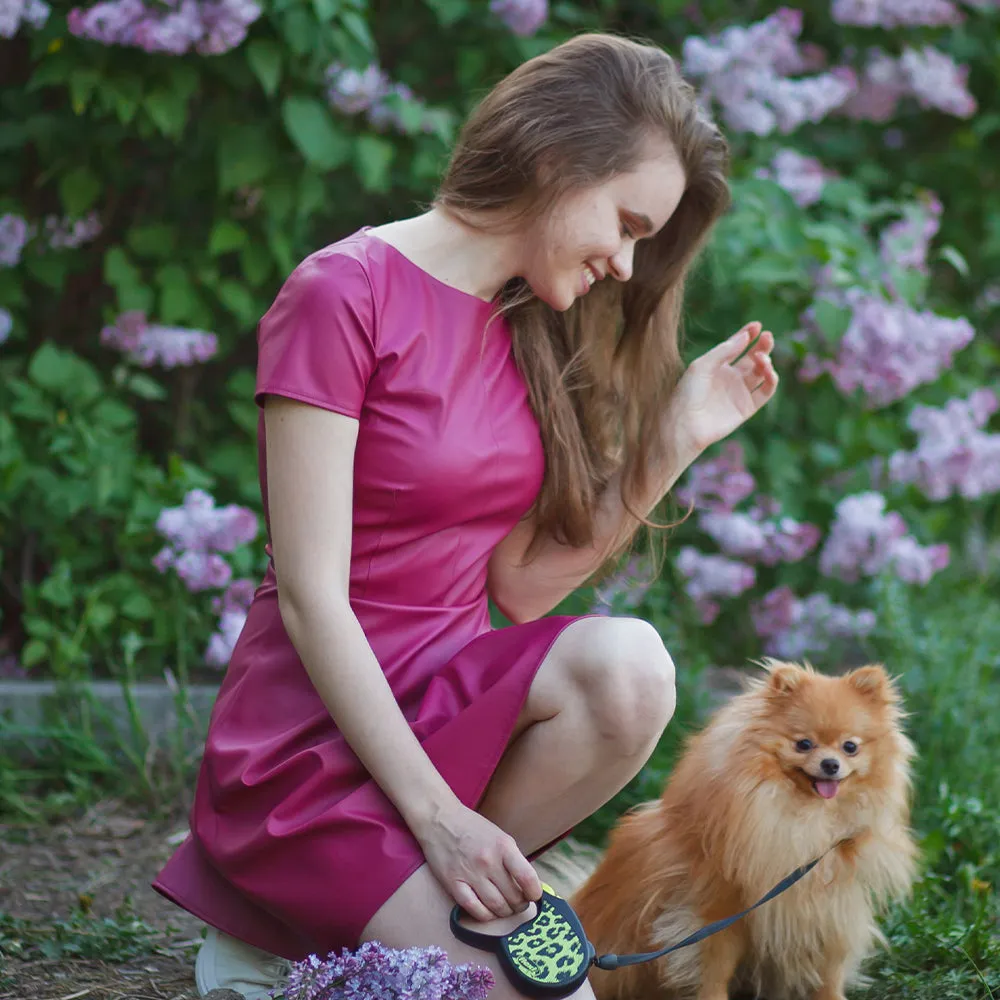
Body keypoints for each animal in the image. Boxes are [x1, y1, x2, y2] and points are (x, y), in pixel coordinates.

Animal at [576, 664, 916, 1000]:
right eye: (804, 744)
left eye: (850, 747)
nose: (831, 764)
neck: (806, 821)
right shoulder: (719, 908)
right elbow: (716, 966)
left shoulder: (832, 908)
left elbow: (829, 969)